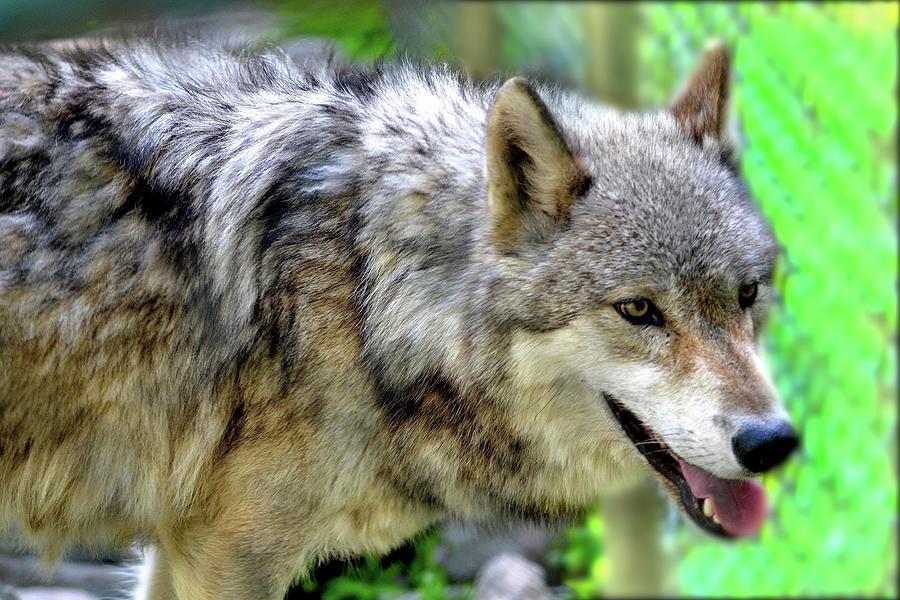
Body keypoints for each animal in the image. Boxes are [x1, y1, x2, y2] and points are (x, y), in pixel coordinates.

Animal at [0, 36, 800, 596]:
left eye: (747, 294)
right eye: (638, 309)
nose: (773, 443)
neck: (367, 290)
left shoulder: (183, 549)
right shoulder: (228, 553)